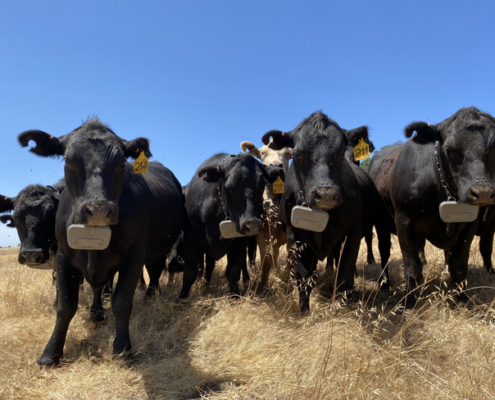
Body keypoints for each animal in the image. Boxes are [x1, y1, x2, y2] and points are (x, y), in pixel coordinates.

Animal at [178, 153, 284, 300]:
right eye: (229, 187)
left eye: (261, 185)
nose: (253, 225)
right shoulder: (190, 237)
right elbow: (190, 271)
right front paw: (182, 297)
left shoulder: (241, 241)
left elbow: (233, 270)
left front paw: (234, 296)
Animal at [264, 111, 364, 312]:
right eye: (297, 154)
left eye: (341, 152)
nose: (326, 194)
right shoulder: (294, 236)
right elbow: (304, 278)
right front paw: (304, 312)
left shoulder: (354, 233)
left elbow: (345, 276)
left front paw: (344, 312)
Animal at [392, 108, 495, 308]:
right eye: (450, 150)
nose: (483, 192)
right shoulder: (403, 221)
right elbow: (412, 267)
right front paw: (409, 302)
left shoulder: (470, 224)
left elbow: (459, 264)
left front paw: (461, 299)